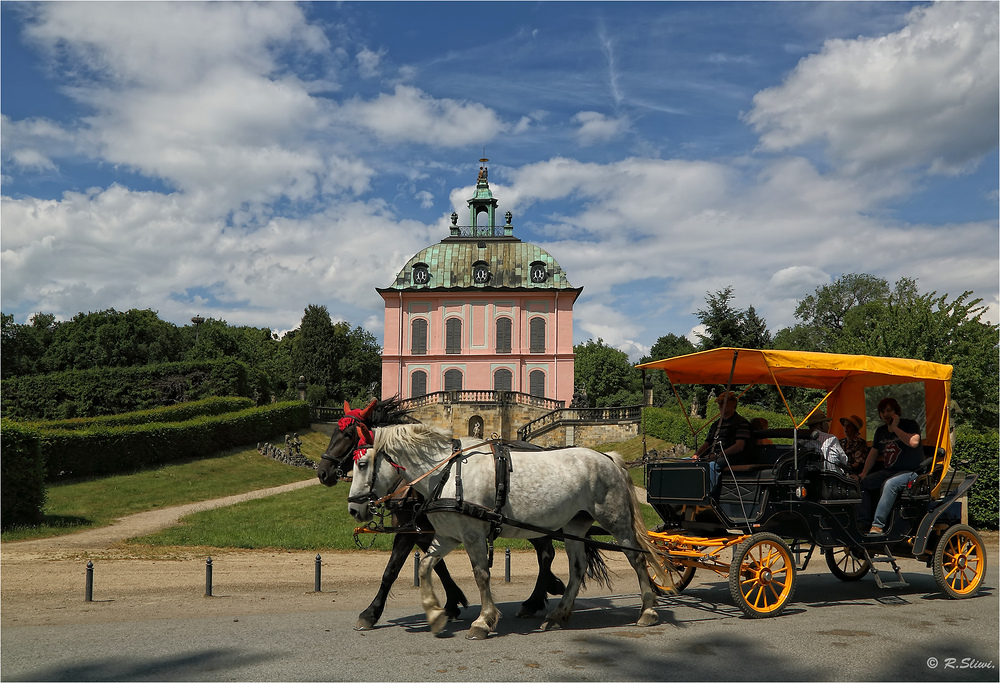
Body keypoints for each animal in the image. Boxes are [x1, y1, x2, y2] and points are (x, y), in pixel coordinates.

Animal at [348, 422, 668, 640]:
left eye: (362, 463)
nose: (353, 508)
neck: (447, 473)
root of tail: (608, 457)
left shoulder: (473, 535)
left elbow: (481, 575)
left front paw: (483, 621)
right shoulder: (447, 536)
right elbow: (426, 567)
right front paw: (436, 613)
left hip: (616, 522)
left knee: (637, 559)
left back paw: (648, 610)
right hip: (573, 525)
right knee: (577, 568)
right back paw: (558, 614)